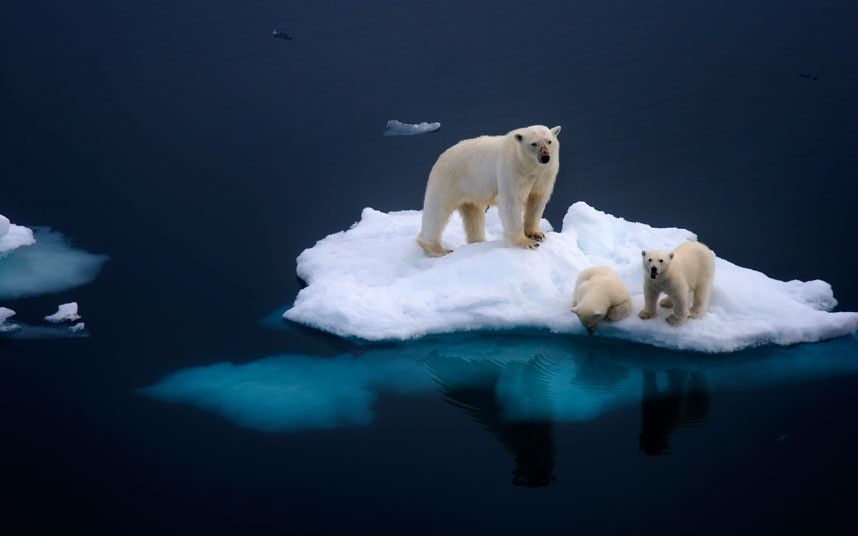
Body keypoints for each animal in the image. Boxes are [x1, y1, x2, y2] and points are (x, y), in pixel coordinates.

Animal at [416, 124, 561, 256]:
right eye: (534, 144)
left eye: (549, 141)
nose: (545, 157)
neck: (530, 167)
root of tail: (441, 156)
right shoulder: (512, 170)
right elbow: (511, 201)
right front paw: (527, 243)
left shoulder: (544, 175)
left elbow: (537, 200)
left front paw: (537, 234)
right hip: (448, 180)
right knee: (437, 212)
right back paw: (437, 249)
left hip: (470, 189)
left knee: (474, 216)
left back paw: (478, 241)